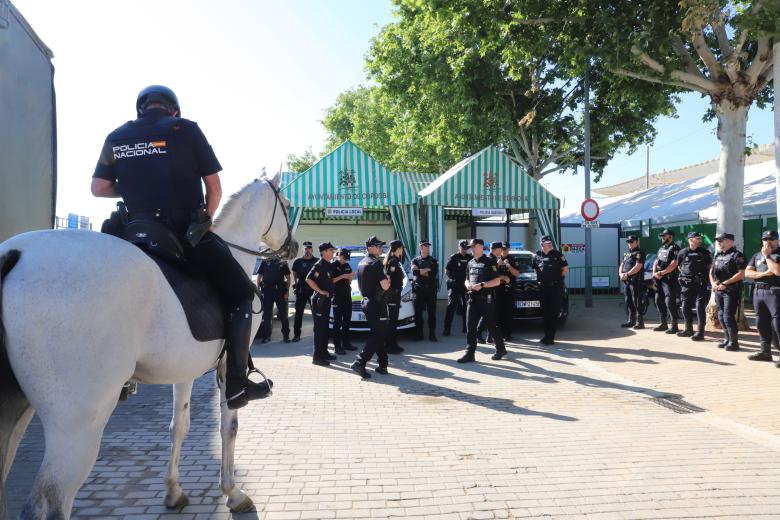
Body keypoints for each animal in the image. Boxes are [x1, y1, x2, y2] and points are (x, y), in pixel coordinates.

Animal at [0, 171, 298, 520]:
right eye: (288, 205)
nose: (293, 247)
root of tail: (16, 254)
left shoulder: (185, 370)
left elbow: (178, 426)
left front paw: (173, 491)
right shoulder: (227, 368)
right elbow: (229, 427)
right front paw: (232, 493)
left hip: (19, 413)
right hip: (77, 426)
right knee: (50, 501)